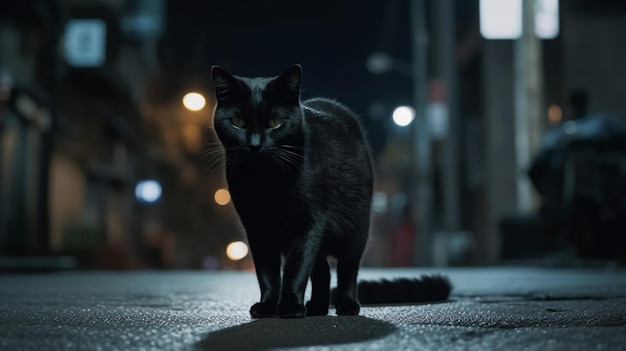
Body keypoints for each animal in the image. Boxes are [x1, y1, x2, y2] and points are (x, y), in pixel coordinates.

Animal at [210, 65, 448, 320]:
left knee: (348, 269)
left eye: (275, 122)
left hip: (357, 228)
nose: (255, 145)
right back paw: (317, 307)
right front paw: (267, 306)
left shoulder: (309, 223)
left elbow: (296, 269)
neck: (267, 181)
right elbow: (267, 273)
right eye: (237, 122)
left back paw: (347, 305)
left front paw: (290, 306)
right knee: (322, 269)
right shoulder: (257, 228)